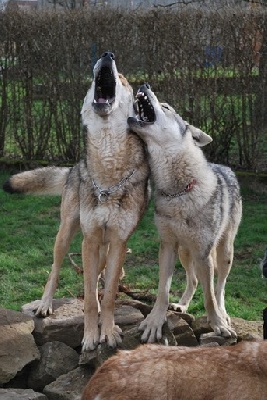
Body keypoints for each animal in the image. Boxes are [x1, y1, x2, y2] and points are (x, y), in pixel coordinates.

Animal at [3, 52, 151, 350]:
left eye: (122, 80)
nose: (107, 54)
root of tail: (74, 167)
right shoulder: (89, 239)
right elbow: (90, 299)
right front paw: (91, 336)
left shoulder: (119, 242)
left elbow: (108, 295)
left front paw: (108, 331)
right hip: (66, 233)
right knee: (55, 269)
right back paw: (45, 304)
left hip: (104, 248)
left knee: (99, 279)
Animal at [127, 83, 243, 342]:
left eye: (166, 106)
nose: (145, 85)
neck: (177, 191)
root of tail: (225, 166)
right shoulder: (167, 246)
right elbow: (163, 290)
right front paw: (154, 321)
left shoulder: (203, 252)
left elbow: (210, 296)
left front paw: (218, 325)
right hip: (184, 252)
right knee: (193, 280)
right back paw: (182, 305)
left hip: (223, 252)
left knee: (219, 287)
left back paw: (224, 314)